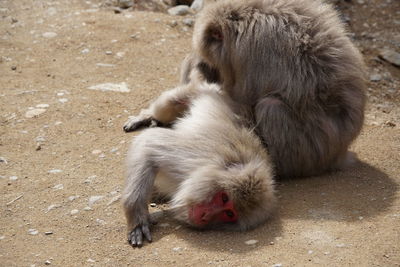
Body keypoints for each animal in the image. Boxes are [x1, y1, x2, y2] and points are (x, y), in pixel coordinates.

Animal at [122, 83, 276, 247]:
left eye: (229, 213)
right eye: (224, 198)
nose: (205, 215)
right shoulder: (192, 158)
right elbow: (149, 143)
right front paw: (137, 220)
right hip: (199, 90)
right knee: (168, 104)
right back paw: (148, 115)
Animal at [124, 0, 366, 179]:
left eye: (213, 61)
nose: (211, 71)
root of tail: (340, 153)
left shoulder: (253, 51)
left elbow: (241, 103)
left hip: (313, 154)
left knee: (271, 106)